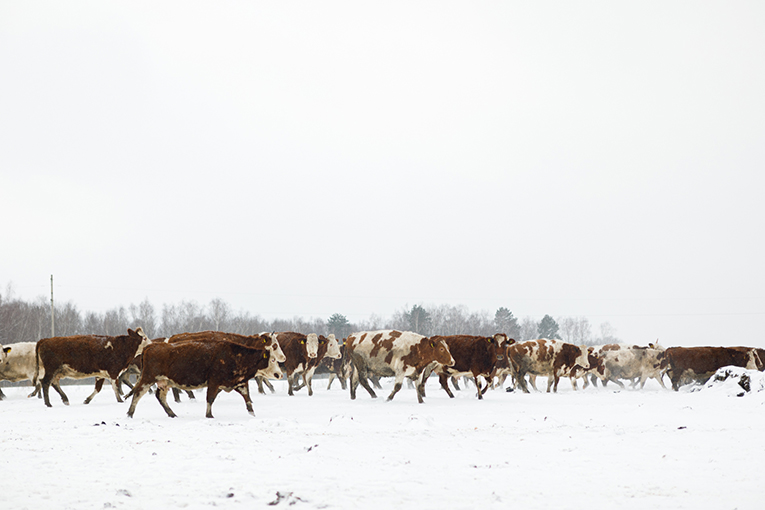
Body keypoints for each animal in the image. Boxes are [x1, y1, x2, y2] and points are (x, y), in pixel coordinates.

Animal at [127, 338, 282, 418]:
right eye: (273, 359)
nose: (279, 374)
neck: (235, 356)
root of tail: (150, 346)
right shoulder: (214, 381)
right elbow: (210, 398)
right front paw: (209, 415)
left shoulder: (239, 382)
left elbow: (247, 398)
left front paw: (252, 414)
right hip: (148, 378)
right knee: (138, 393)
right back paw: (130, 413)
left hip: (165, 382)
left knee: (160, 397)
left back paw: (172, 414)